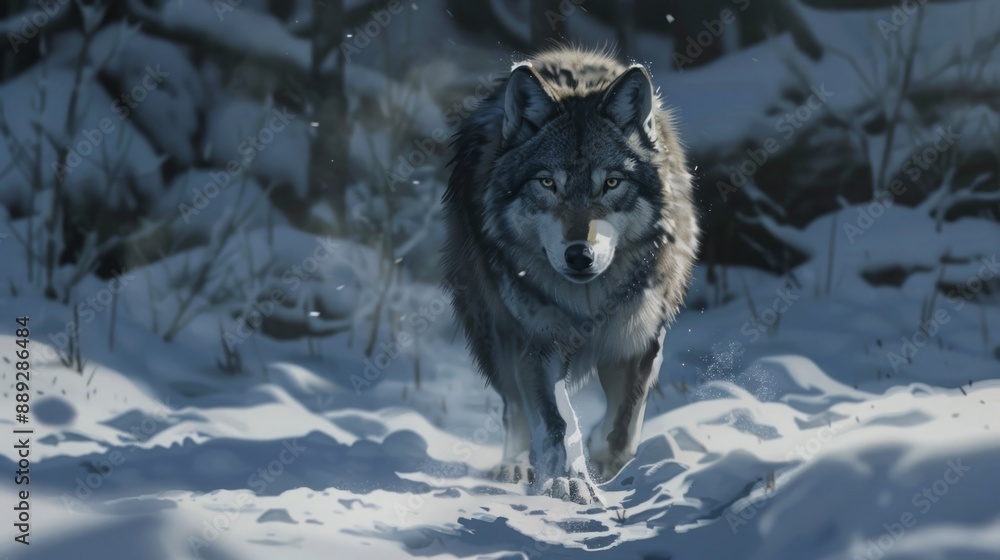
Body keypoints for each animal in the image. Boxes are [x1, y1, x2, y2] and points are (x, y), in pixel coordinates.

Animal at [442, 47, 699, 503]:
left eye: (611, 183)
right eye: (547, 183)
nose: (579, 255)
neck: (587, 304)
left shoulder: (639, 340)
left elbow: (623, 425)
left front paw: (604, 464)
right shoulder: (538, 344)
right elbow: (558, 423)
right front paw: (569, 481)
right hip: (494, 333)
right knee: (514, 408)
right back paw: (516, 466)